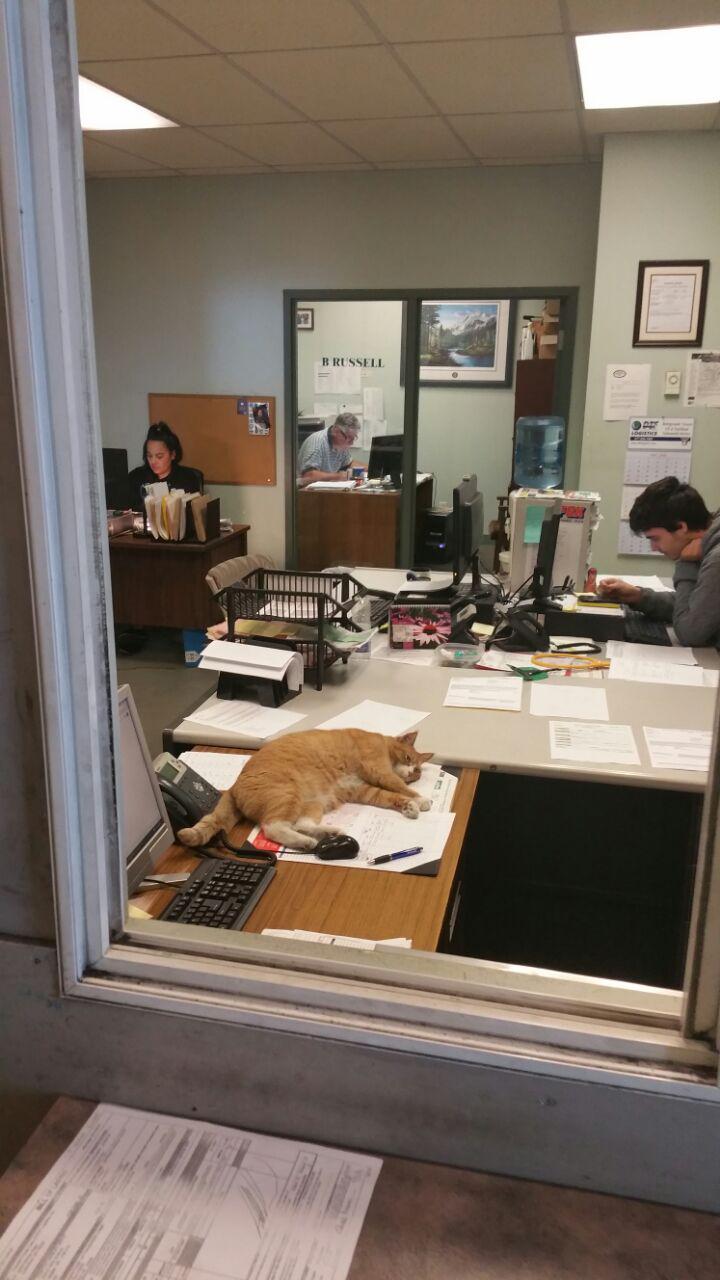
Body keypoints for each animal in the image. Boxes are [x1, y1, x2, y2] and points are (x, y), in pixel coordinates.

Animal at [175, 732, 430, 849]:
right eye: (408, 758)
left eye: (416, 772)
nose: (410, 773)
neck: (383, 743)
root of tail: (234, 785)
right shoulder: (378, 769)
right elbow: (398, 787)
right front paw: (422, 799)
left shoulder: (363, 789)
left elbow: (391, 796)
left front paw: (409, 806)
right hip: (288, 794)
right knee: (273, 827)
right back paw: (307, 842)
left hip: (314, 801)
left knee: (300, 824)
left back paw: (327, 834)